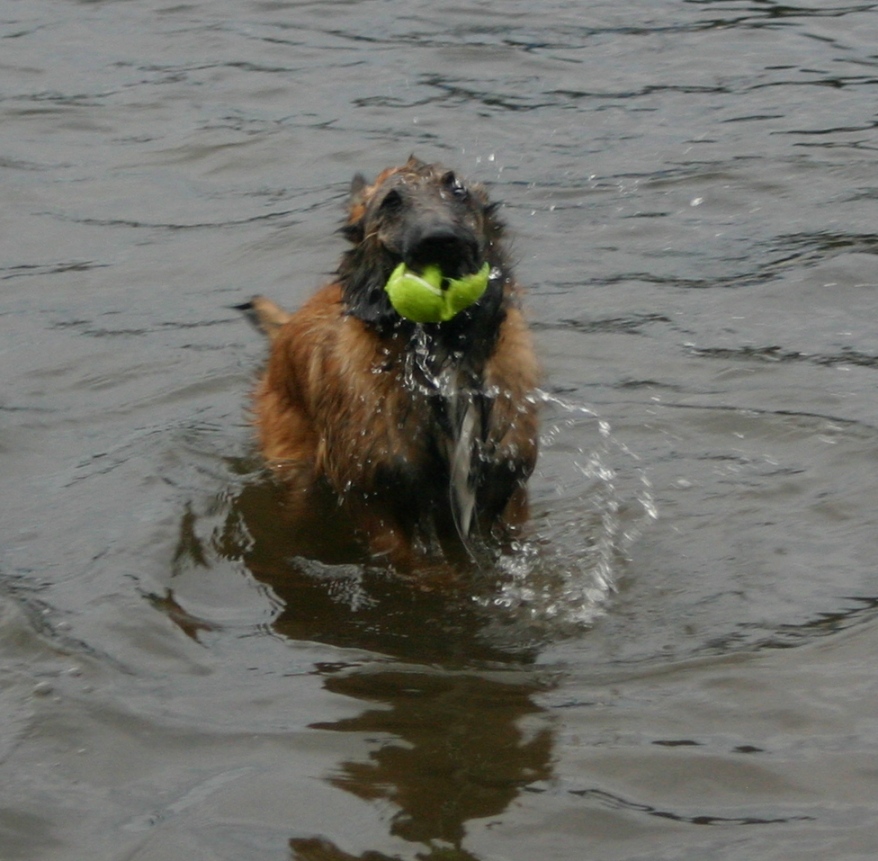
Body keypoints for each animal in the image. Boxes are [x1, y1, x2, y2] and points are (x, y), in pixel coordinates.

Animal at [242, 158, 544, 576]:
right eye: (392, 202)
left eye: (457, 190)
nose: (440, 239)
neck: (441, 353)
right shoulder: (381, 507)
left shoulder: (507, 498)